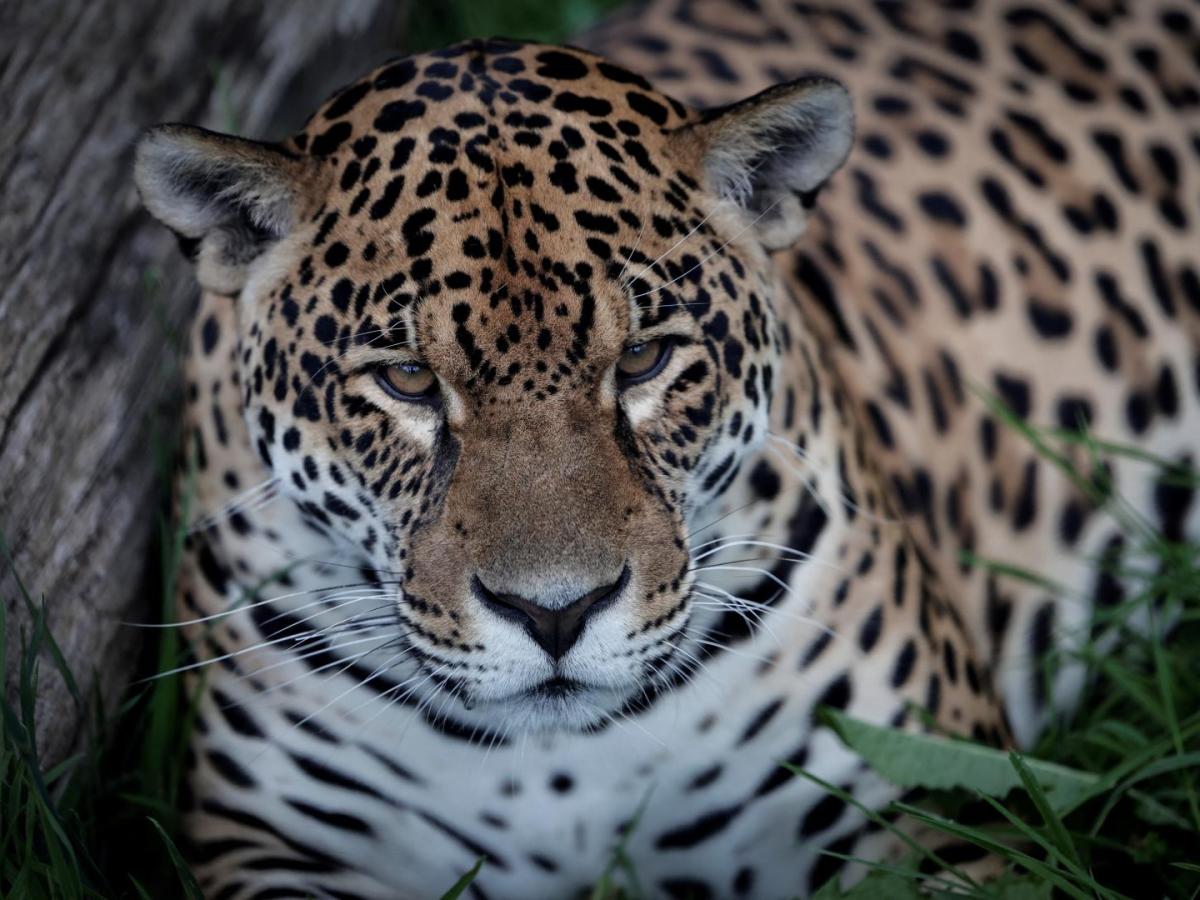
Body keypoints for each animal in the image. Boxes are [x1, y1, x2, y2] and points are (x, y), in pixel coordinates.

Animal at [132, 1, 1200, 897]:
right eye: (405, 380)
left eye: (644, 359)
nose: (554, 615)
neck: (556, 772)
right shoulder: (271, 846)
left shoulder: (940, 805)